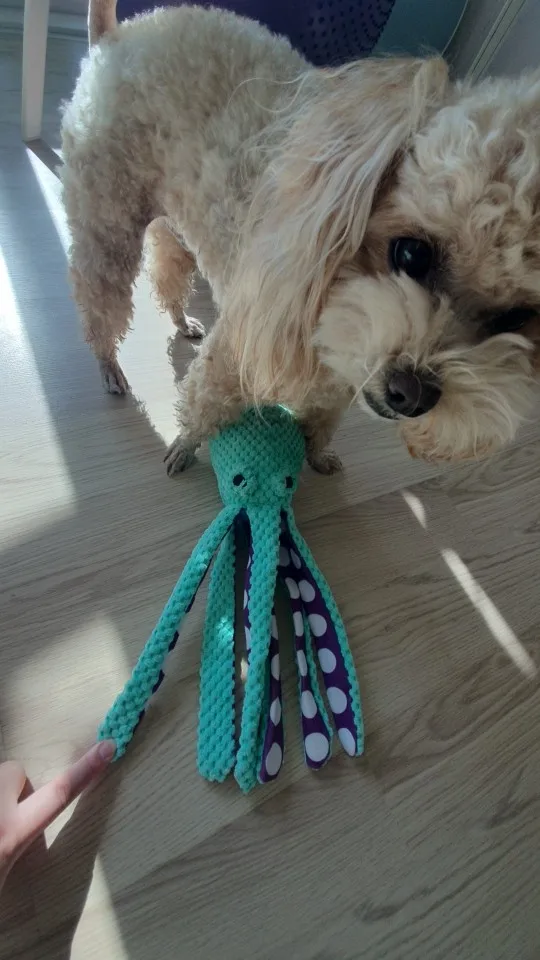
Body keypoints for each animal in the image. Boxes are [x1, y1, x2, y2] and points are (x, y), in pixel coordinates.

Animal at [61, 1, 540, 475]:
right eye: (410, 253)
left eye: (517, 317)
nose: (412, 395)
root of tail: (116, 36)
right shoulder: (235, 349)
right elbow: (204, 404)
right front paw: (184, 446)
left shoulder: (339, 388)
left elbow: (322, 421)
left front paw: (317, 453)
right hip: (107, 219)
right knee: (100, 299)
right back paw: (108, 364)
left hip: (171, 212)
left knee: (168, 268)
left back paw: (182, 320)